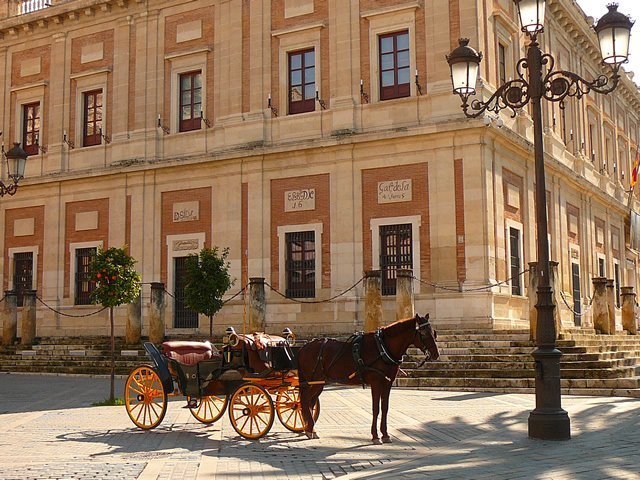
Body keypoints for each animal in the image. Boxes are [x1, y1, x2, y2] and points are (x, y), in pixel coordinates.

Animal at [296, 314, 438, 444]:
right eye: (424, 333)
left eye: (434, 332)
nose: (436, 354)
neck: (382, 348)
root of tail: (303, 347)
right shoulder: (376, 383)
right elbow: (375, 408)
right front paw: (375, 436)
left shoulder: (388, 383)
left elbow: (385, 408)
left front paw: (385, 434)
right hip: (313, 381)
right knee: (304, 400)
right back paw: (309, 429)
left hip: (319, 383)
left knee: (310, 402)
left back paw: (310, 429)